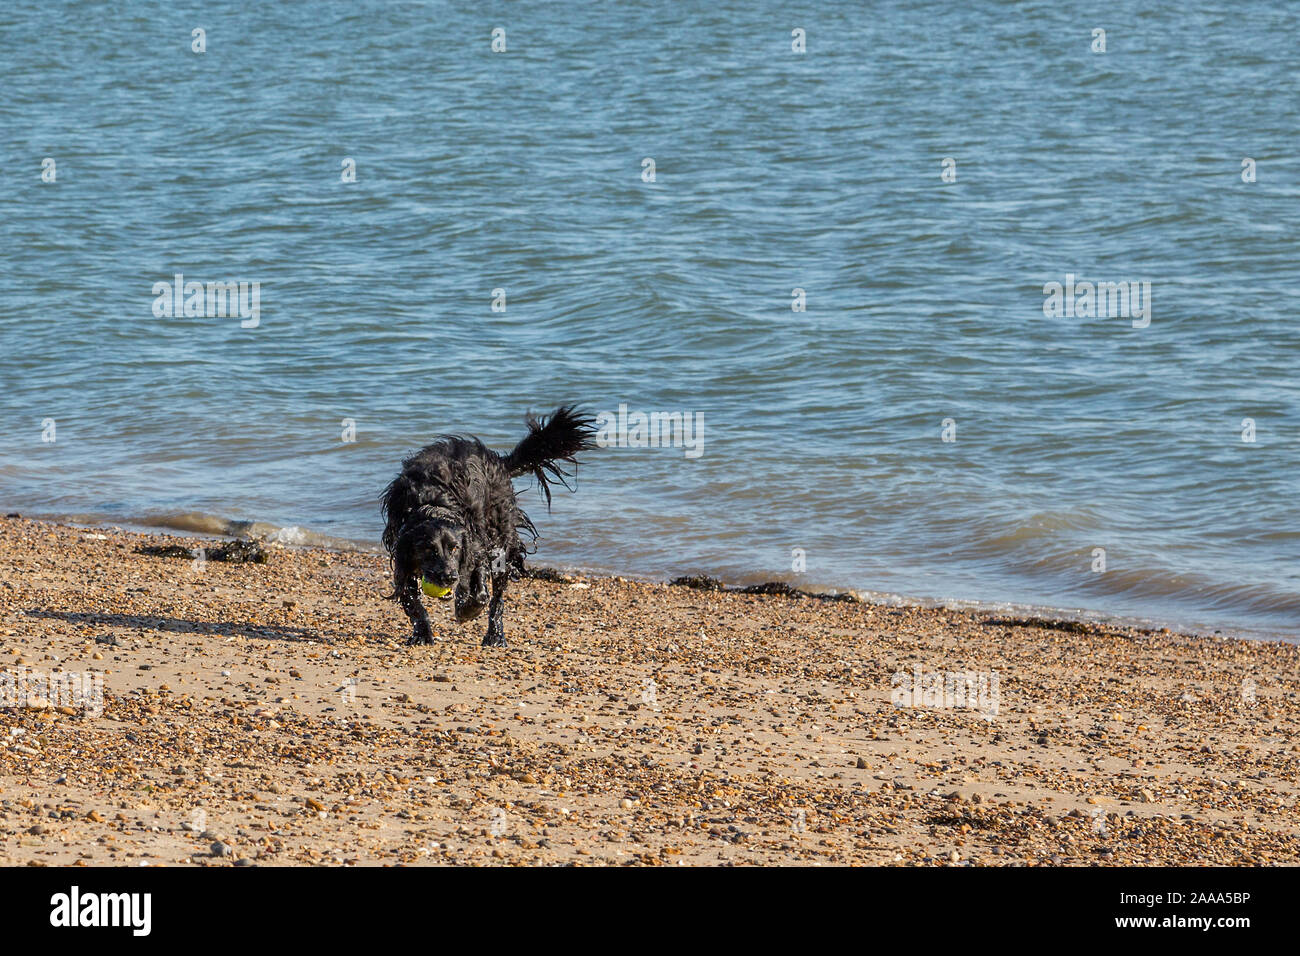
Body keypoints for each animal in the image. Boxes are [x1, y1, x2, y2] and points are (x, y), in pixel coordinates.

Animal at [379, 408, 595, 647]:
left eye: (454, 548)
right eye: (428, 549)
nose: (449, 577)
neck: (432, 504)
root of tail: (497, 461)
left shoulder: (475, 545)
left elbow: (480, 590)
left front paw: (467, 609)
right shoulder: (402, 551)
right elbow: (411, 599)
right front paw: (422, 633)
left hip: (501, 538)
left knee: (497, 597)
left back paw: (495, 635)